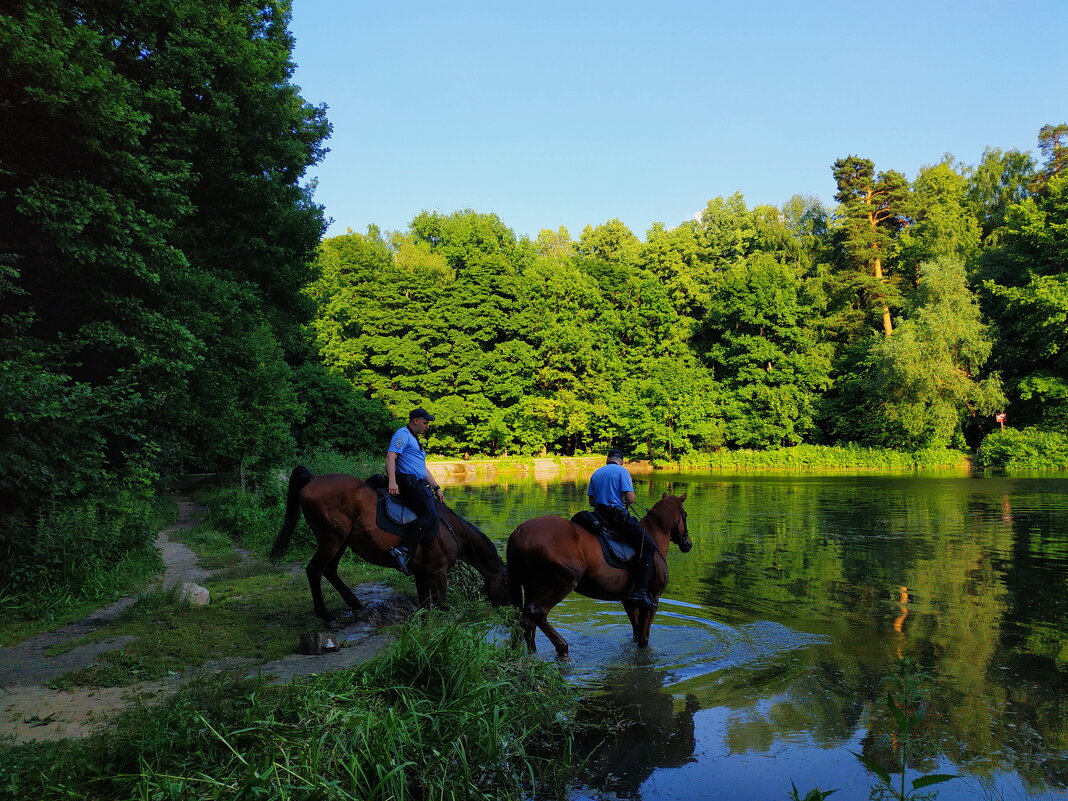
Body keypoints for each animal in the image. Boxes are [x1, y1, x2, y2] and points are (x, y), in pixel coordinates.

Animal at [273, 463, 510, 619]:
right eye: (510, 584)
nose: (509, 607)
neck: (452, 530)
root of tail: (314, 479)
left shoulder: (422, 573)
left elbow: (425, 605)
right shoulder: (438, 572)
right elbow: (441, 606)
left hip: (341, 541)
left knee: (329, 570)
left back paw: (355, 603)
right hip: (331, 539)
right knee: (314, 570)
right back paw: (324, 613)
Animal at [506, 495, 692, 657]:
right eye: (685, 514)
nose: (688, 544)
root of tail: (519, 532)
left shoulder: (628, 601)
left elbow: (636, 633)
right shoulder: (652, 601)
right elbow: (643, 639)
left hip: (530, 587)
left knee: (525, 621)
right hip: (559, 584)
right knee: (536, 613)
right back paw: (562, 647)